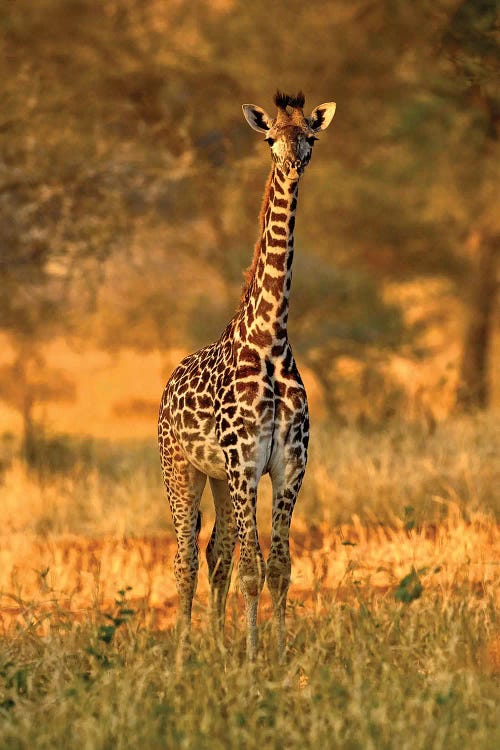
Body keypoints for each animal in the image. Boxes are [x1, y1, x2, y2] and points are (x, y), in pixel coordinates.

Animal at [157, 89, 336, 664]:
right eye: (270, 138)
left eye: (310, 135)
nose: (293, 162)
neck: (270, 339)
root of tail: (166, 386)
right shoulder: (245, 463)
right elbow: (253, 570)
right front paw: (256, 661)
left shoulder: (289, 463)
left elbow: (278, 567)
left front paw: (276, 655)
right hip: (181, 470)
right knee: (186, 558)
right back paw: (182, 657)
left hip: (215, 477)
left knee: (215, 552)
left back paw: (214, 648)